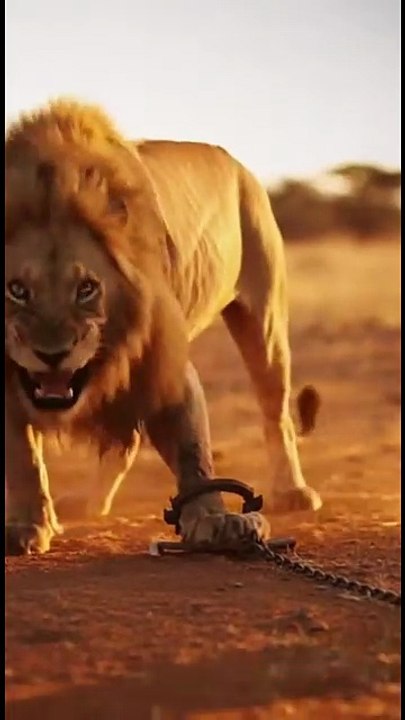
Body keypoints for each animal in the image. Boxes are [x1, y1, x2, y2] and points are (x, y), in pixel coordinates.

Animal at [5, 99, 322, 555]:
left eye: (86, 289)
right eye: (17, 289)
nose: (52, 354)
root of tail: (238, 164)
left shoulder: (167, 359)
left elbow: (193, 452)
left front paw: (215, 520)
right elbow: (21, 456)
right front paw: (27, 525)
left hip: (265, 322)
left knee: (276, 413)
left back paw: (292, 492)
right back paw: (88, 503)